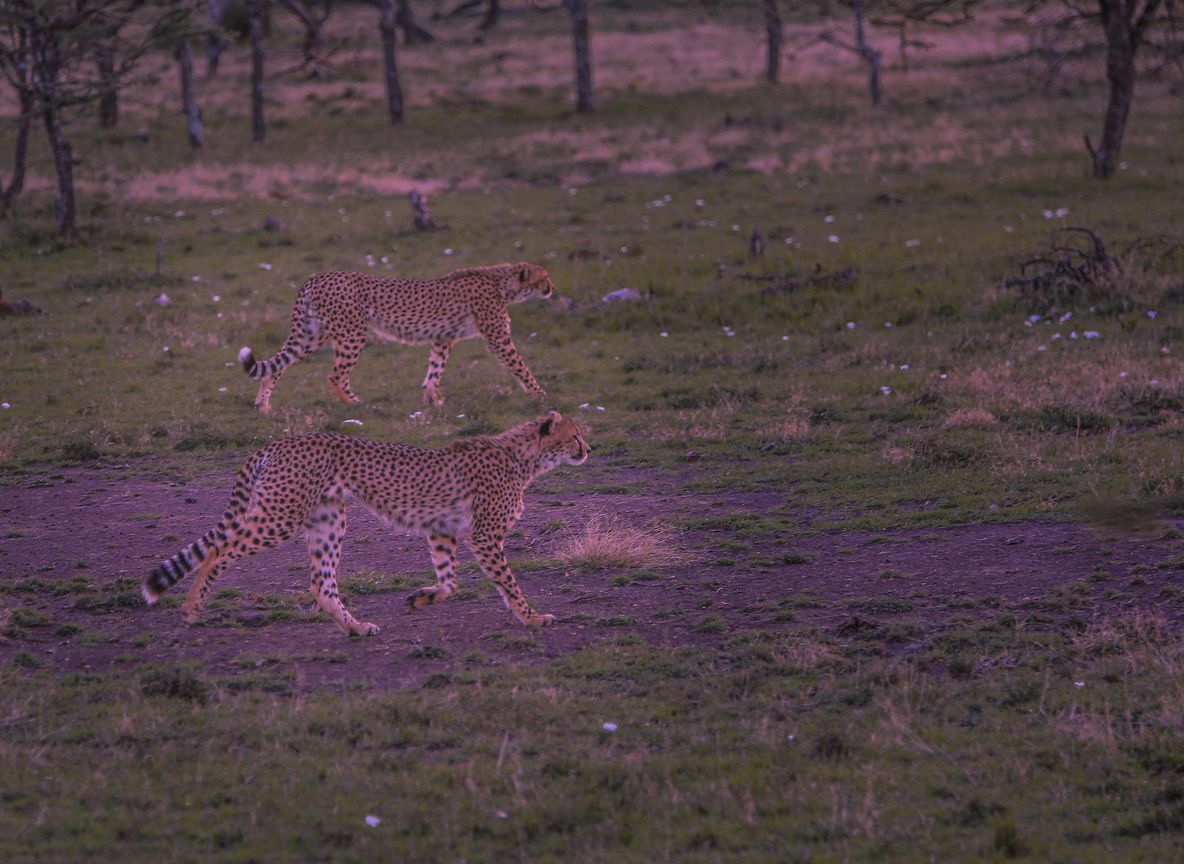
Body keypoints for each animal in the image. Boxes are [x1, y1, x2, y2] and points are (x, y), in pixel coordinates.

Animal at [142, 411, 590, 636]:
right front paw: (532, 618)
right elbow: (509, 584)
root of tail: (279, 442)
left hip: (328, 518)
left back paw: (355, 627)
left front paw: (420, 599)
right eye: (574, 436)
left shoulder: (442, 530)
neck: (524, 458)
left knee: (320, 582)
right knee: (219, 549)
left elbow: (450, 582)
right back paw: (191, 608)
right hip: (280, 515)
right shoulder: (484, 535)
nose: (589, 448)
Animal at [239, 262, 555, 413]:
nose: (552, 288)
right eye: (544, 277)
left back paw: (262, 405)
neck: (502, 283)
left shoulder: (442, 338)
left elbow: (434, 370)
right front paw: (541, 396)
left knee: (277, 366)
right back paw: (358, 404)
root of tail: (317, 276)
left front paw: (431, 400)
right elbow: (521, 367)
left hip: (312, 334)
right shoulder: (498, 338)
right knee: (335, 376)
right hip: (353, 332)